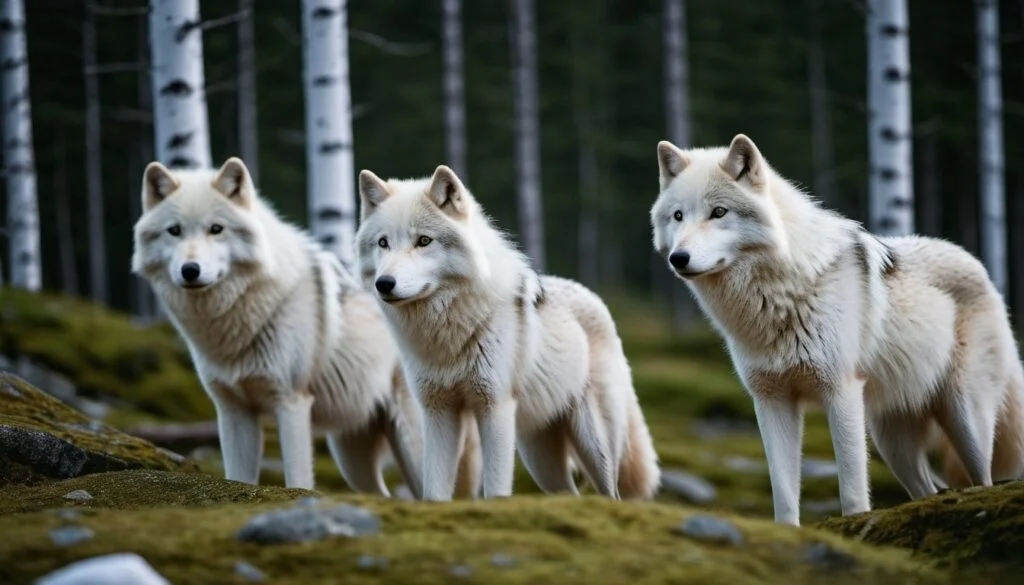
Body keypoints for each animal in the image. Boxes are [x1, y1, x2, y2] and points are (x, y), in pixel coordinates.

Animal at [131, 157, 481, 496]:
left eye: (216, 229)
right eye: (174, 231)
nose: (190, 270)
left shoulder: (292, 403)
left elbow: (297, 478)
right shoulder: (233, 412)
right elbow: (238, 477)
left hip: (413, 443)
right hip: (352, 458)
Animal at [354, 164, 661, 501]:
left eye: (423, 241)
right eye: (383, 243)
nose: (384, 283)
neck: (447, 333)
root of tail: (595, 298)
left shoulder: (495, 408)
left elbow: (497, 489)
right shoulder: (436, 413)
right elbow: (434, 490)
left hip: (594, 445)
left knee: (611, 494)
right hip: (541, 460)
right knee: (570, 494)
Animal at [649, 134, 1024, 526]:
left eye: (719, 212)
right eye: (678, 216)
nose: (678, 258)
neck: (780, 296)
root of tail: (980, 268)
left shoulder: (840, 392)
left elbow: (852, 487)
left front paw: (854, 521)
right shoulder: (770, 401)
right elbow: (783, 491)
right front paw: (789, 532)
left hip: (965, 420)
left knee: (983, 480)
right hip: (893, 443)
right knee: (930, 488)